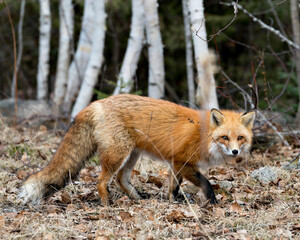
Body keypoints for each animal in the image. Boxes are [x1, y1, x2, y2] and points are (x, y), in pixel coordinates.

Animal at [19, 94, 255, 204]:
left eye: (240, 138)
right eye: (225, 138)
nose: (235, 152)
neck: (204, 136)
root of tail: (96, 103)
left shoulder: (176, 164)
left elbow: (173, 186)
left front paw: (173, 200)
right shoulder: (183, 161)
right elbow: (206, 183)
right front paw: (212, 201)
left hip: (132, 154)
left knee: (121, 179)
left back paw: (137, 199)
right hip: (118, 154)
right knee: (101, 181)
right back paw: (107, 205)